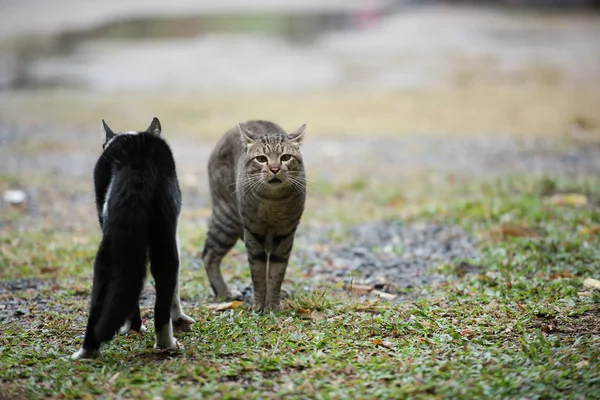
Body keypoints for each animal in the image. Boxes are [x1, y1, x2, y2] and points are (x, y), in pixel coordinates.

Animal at [72, 116, 195, 360]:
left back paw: (88, 350)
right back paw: (167, 344)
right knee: (164, 291)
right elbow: (175, 291)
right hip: (164, 238)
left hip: (109, 250)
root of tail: (138, 159)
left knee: (107, 292)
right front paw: (178, 319)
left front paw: (132, 327)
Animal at [202, 120, 308, 310]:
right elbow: (258, 272)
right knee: (208, 255)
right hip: (227, 219)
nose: (274, 169)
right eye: (261, 159)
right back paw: (224, 292)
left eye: (285, 157)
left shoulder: (285, 234)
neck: (273, 202)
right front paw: (259, 305)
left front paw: (272, 304)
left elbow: (276, 272)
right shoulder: (253, 232)